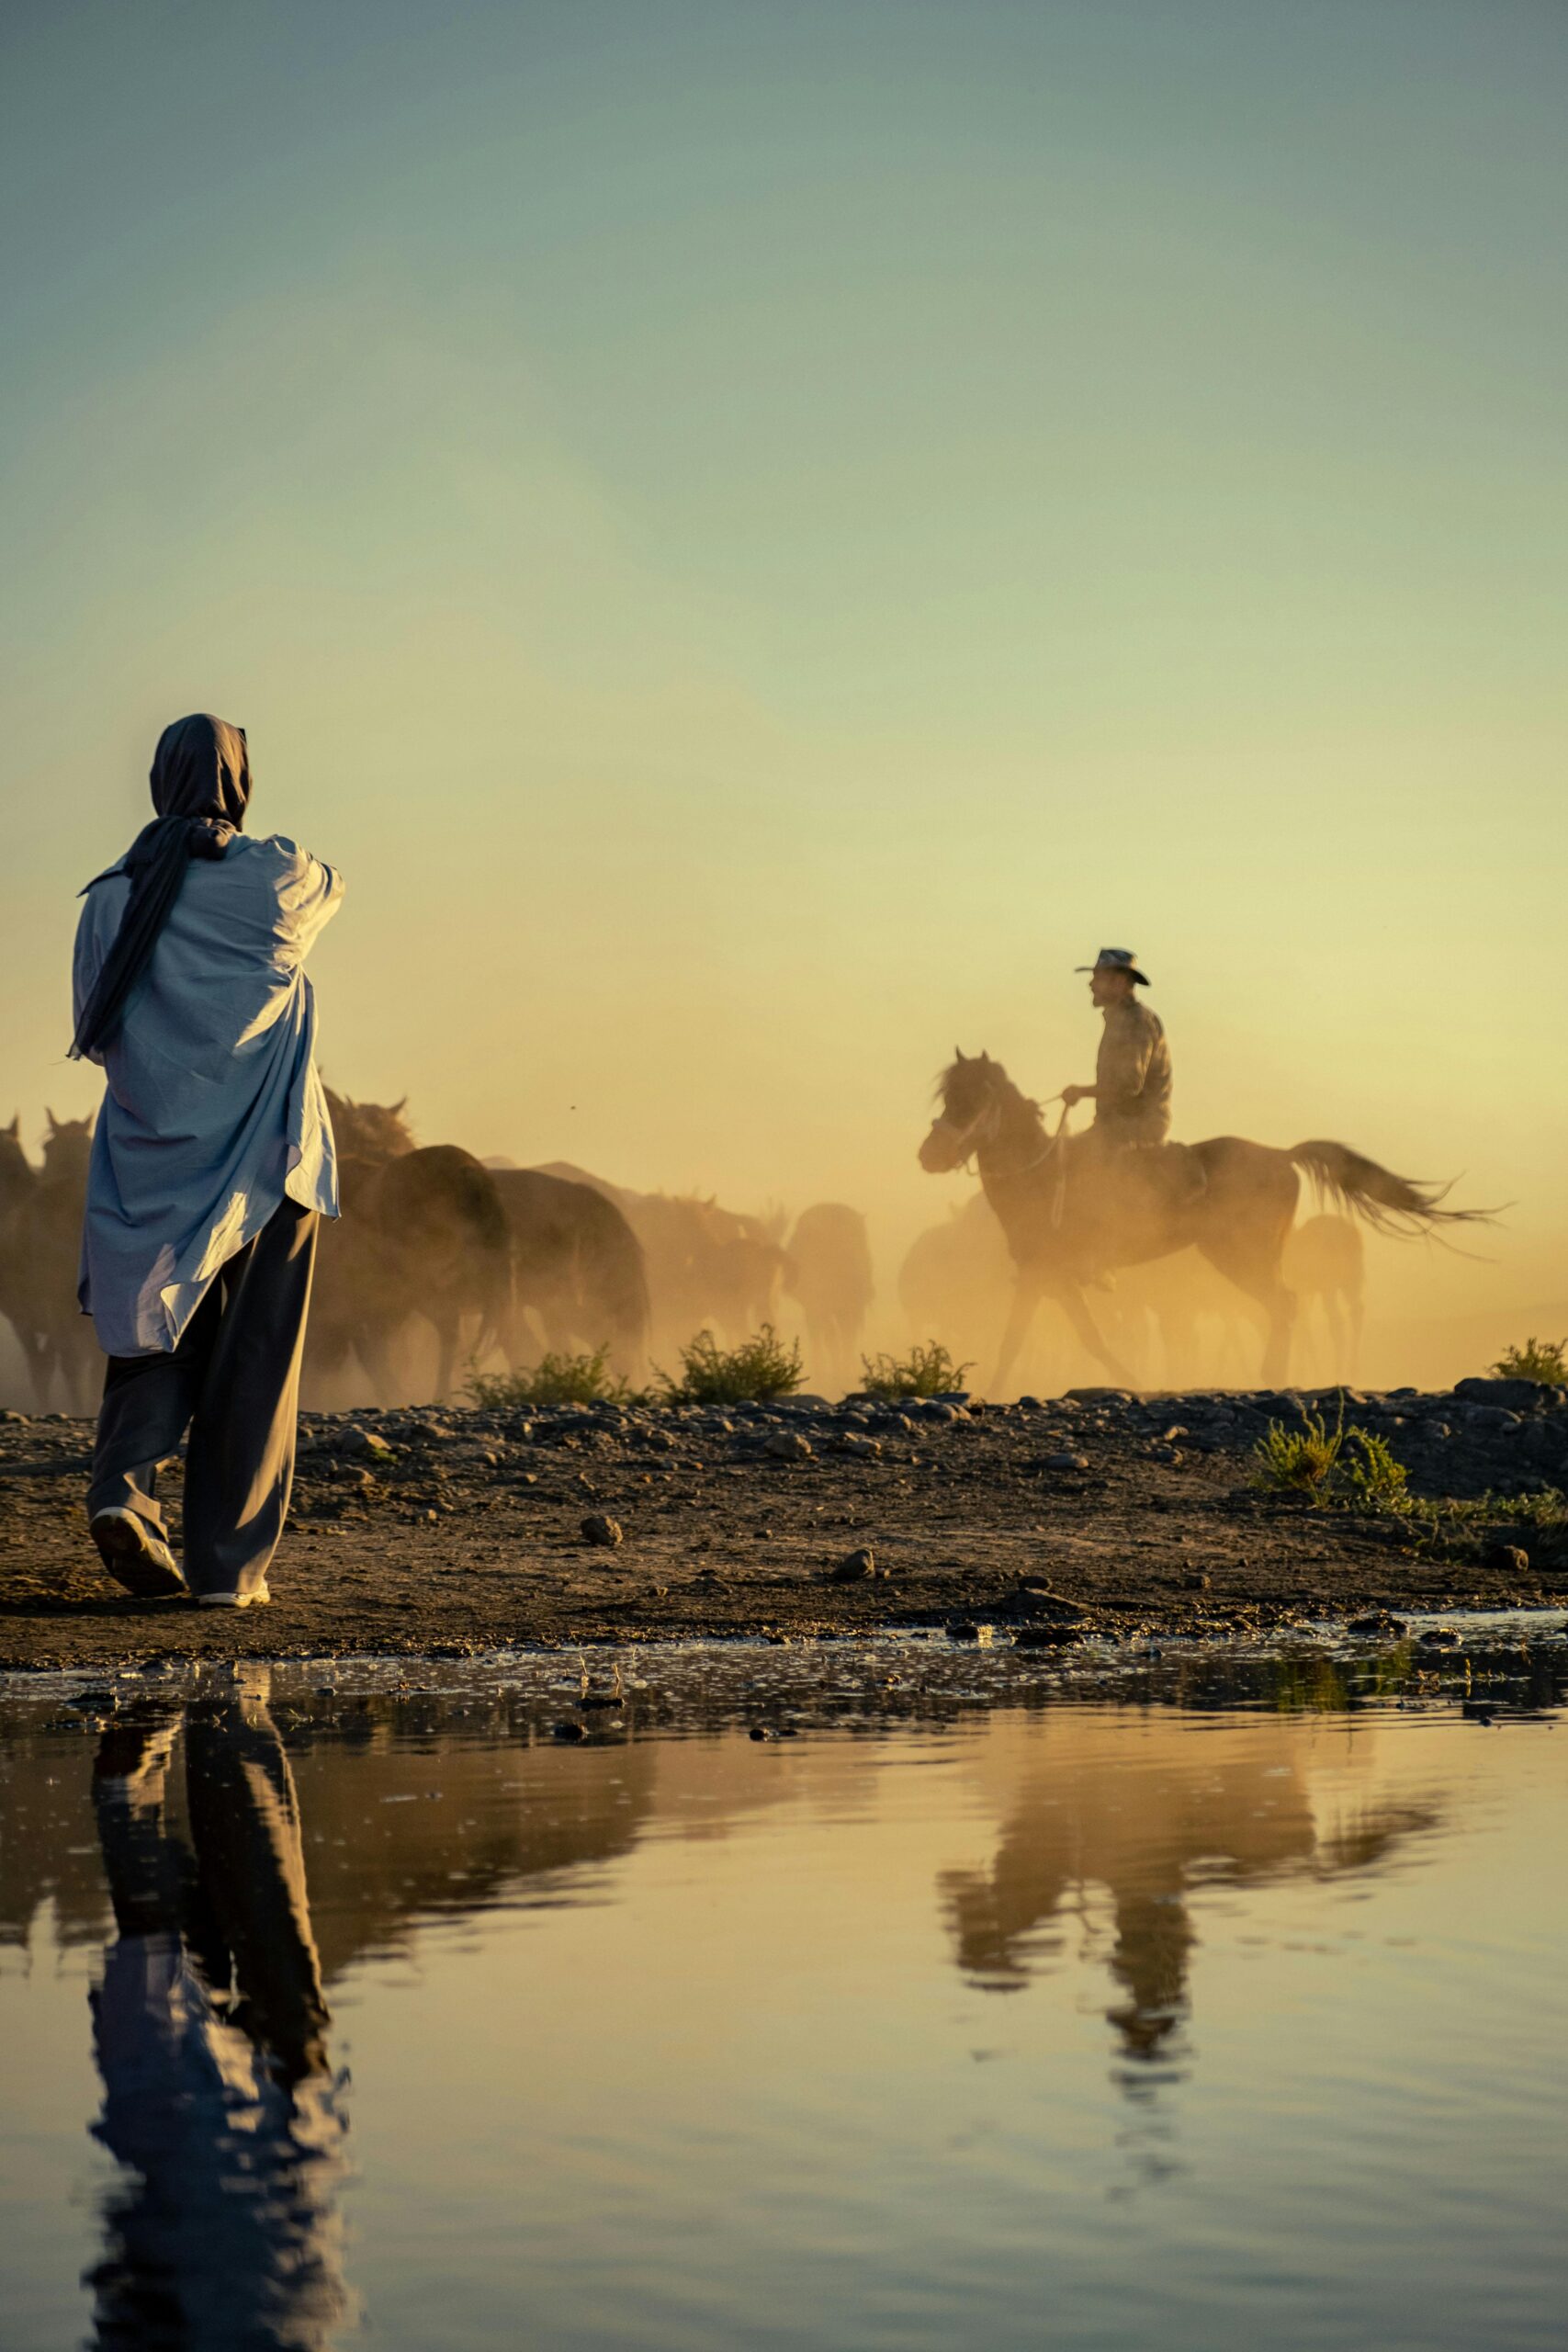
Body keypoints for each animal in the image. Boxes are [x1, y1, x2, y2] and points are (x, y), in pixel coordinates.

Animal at [911, 1053, 1476, 1392]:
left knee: (1284, 1305)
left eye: (971, 1099)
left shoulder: (1043, 1275)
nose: (928, 1155)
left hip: (1242, 1256)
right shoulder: (1046, 1279)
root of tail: (1282, 1156)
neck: (1040, 1174)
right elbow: (1060, 1340)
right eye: (947, 1098)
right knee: (1284, 1309)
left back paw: (1271, 1378)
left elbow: (1042, 1342)